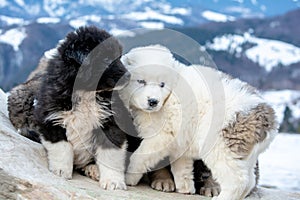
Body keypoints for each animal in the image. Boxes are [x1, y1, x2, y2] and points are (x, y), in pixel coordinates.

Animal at [8, 25, 129, 190]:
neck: (85, 92)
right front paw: (61, 171)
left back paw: (93, 169)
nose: (129, 76)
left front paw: (113, 181)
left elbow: (110, 155)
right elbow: (62, 147)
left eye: (119, 57)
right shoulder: (51, 118)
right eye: (106, 59)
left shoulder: (111, 122)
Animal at [118, 45, 278, 200]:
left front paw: (129, 177)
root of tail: (267, 118)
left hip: (221, 146)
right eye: (141, 81)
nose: (153, 101)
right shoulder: (181, 141)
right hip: (246, 156)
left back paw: (221, 198)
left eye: (162, 84)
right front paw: (185, 187)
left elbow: (140, 156)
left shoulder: (161, 135)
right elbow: (182, 166)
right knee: (250, 180)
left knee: (238, 180)